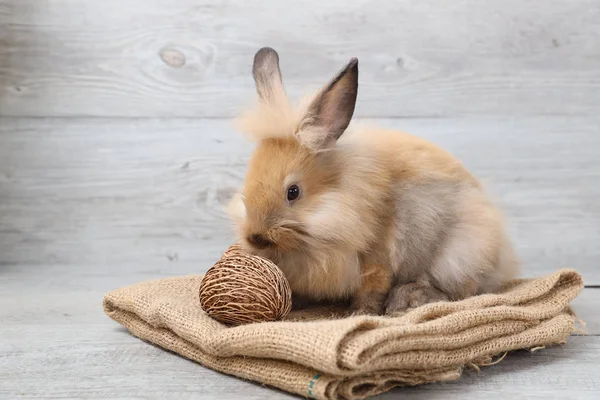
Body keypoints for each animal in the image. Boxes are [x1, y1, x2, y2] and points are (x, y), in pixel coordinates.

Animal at [227, 47, 516, 316]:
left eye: (293, 192)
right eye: (246, 186)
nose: (256, 238)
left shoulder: (378, 258)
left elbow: (372, 289)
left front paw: (360, 313)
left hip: (459, 255)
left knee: (460, 290)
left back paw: (408, 298)